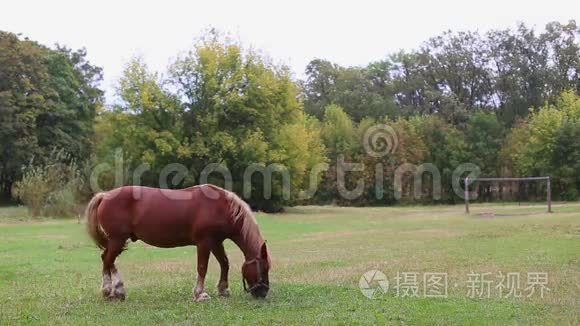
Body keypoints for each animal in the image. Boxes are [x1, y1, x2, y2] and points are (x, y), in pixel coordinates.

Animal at [85, 183, 270, 300]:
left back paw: (118, 290)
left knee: (108, 260)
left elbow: (224, 263)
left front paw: (223, 289)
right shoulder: (204, 242)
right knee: (107, 260)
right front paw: (200, 294)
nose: (263, 293)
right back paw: (109, 291)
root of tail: (104, 195)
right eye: (264, 268)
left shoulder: (216, 242)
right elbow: (202, 267)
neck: (220, 207)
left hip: (117, 241)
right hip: (117, 240)